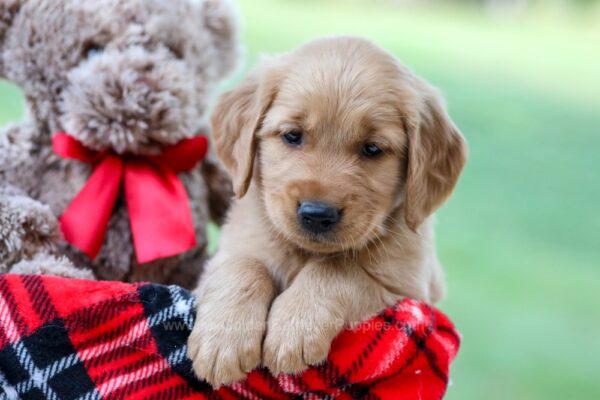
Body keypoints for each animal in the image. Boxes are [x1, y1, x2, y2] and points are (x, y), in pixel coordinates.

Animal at [188, 36, 468, 386]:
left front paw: (294, 327)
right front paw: (223, 339)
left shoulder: (411, 287)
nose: (317, 214)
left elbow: (340, 268)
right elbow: (243, 265)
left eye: (372, 148)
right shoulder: (223, 256)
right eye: (292, 135)